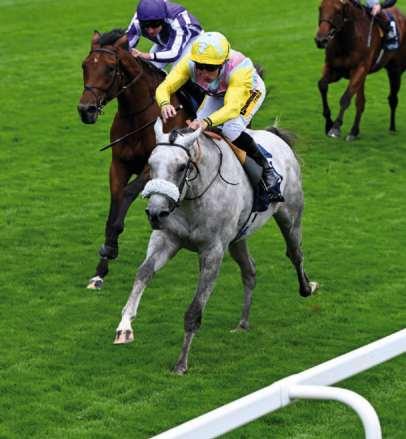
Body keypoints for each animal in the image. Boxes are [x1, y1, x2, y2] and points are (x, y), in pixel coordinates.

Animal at [77, 29, 189, 289]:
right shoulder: (119, 165)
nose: (86, 110)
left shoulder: (151, 168)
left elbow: (126, 194)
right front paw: (101, 269)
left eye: (110, 68)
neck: (138, 116)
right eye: (84, 65)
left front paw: (110, 249)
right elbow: (115, 202)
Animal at [113, 119, 319, 374]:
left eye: (182, 166)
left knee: (295, 253)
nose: (155, 213)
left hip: (290, 216)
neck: (193, 198)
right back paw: (242, 323)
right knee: (249, 271)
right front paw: (124, 326)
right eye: (150, 164)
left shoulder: (213, 251)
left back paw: (307, 287)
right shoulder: (167, 239)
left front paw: (181, 364)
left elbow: (194, 310)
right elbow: (143, 273)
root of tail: (276, 136)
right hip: (238, 238)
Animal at [315, 0, 406, 140]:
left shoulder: (359, 69)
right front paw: (328, 123)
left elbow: (345, 98)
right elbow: (322, 85)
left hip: (395, 70)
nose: (321, 40)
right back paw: (354, 131)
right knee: (361, 102)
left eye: (338, 11)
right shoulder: (334, 69)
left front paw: (335, 127)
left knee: (393, 99)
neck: (346, 40)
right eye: (320, 8)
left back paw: (392, 128)